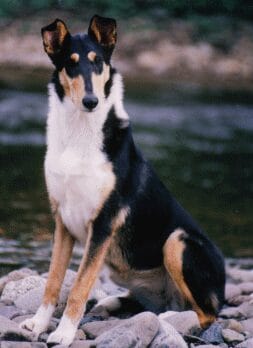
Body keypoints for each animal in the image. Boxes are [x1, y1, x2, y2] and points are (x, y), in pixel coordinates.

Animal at [20, 15, 225, 346]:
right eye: (71, 64)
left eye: (97, 62)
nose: (90, 101)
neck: (80, 134)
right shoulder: (62, 221)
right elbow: (52, 280)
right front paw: (38, 324)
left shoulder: (103, 223)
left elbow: (79, 286)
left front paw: (63, 333)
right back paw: (113, 303)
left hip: (178, 241)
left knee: (207, 314)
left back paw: (169, 319)